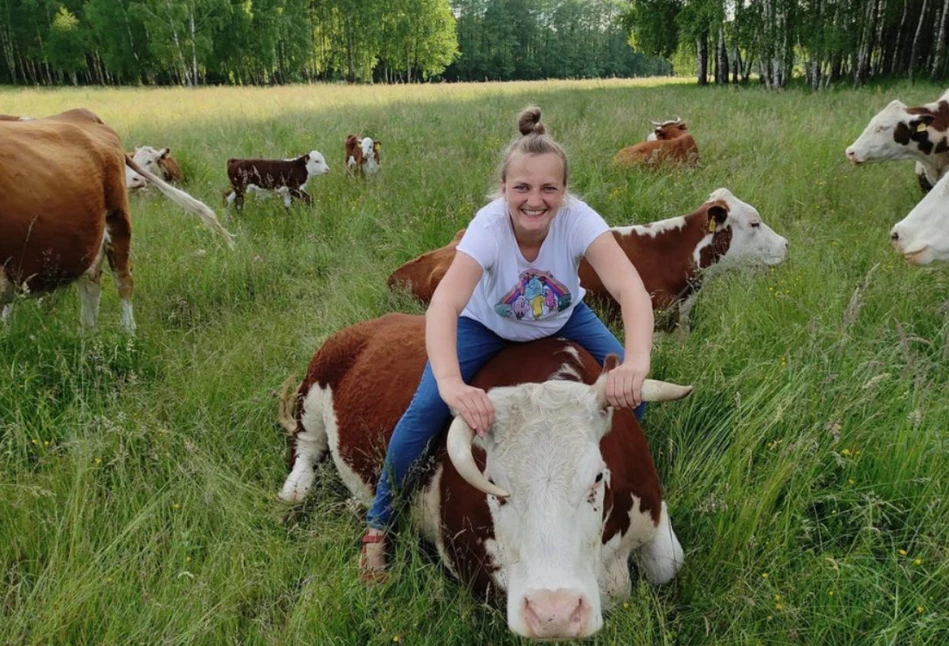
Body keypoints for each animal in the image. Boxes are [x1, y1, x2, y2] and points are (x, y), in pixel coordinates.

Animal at [0, 109, 235, 332]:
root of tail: (82, 113)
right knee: (91, 283)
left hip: (117, 222)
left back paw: (126, 337)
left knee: (122, 280)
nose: (137, 180)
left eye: (151, 160)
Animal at [278, 316, 692, 644]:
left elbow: (669, 563)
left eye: (596, 478)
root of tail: (370, 324)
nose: (553, 613)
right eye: (495, 489)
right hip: (312, 393)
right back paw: (296, 491)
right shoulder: (469, 558)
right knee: (305, 446)